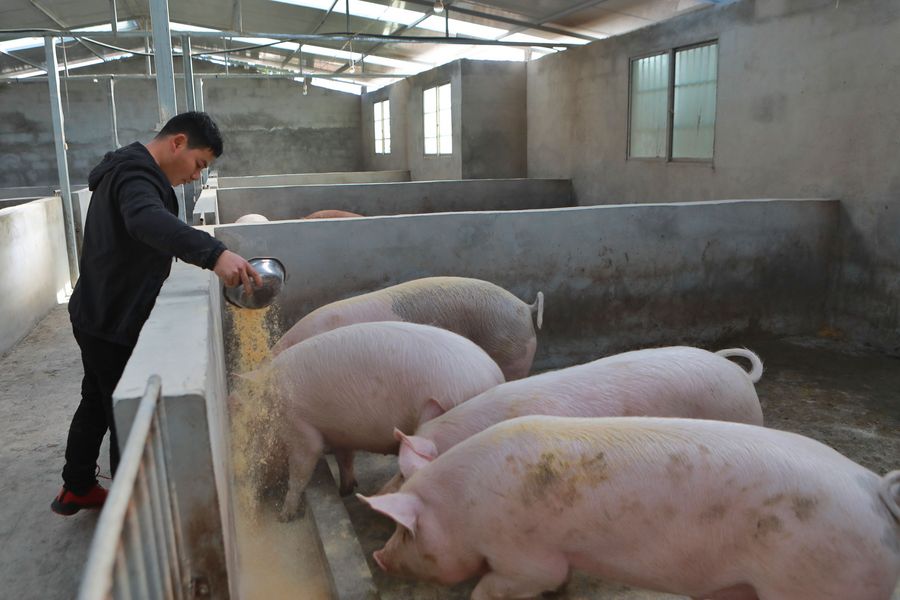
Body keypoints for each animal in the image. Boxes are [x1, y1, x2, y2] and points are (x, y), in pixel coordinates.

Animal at [248, 322, 506, 516]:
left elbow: (302, 467)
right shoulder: (340, 433)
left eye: (247, 437)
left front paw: (284, 516)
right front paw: (345, 490)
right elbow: (345, 459)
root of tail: (496, 375)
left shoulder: (299, 427)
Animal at [360, 414, 900, 600]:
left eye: (405, 529)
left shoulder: (524, 554)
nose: (379, 557)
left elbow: (503, 584)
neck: (462, 506)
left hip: (818, 583)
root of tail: (874, 488)